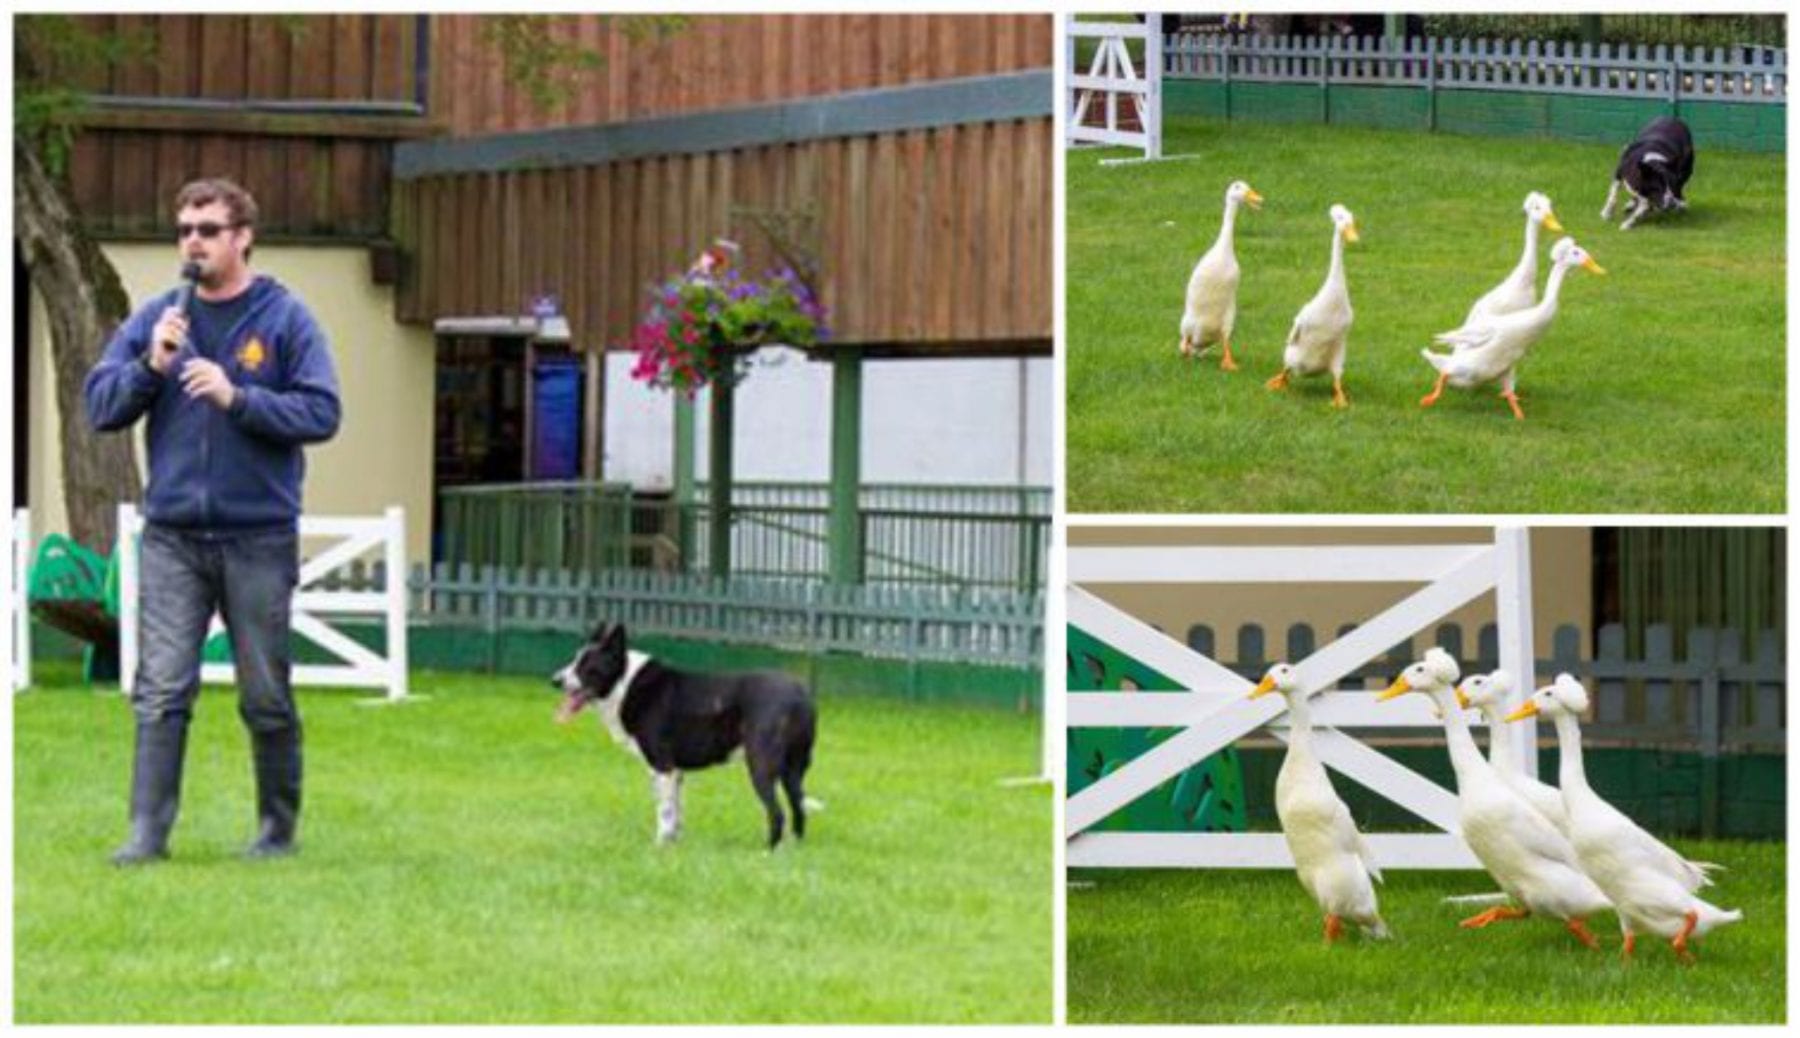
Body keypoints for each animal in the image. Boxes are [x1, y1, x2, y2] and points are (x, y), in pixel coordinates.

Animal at [550, 618, 820, 845]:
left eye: (586, 666)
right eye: (574, 661)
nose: (555, 680)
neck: (624, 683)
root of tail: (799, 695)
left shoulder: (662, 767)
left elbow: (665, 811)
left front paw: (660, 845)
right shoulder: (675, 773)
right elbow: (677, 812)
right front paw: (674, 843)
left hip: (760, 765)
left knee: (777, 812)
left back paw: (768, 851)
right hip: (792, 771)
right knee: (798, 807)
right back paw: (793, 848)